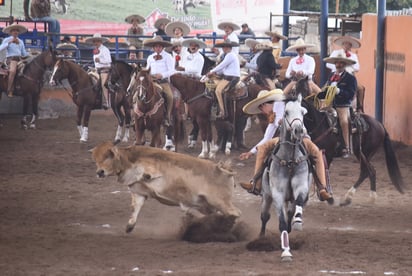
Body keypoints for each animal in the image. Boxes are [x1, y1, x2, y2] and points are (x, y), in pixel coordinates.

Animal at [88, 141, 240, 232]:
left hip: (219, 201)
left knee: (235, 213)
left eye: (108, 156)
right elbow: (135, 208)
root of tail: (223, 170)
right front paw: (130, 226)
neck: (129, 160)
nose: (99, 172)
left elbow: (148, 173)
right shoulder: (139, 192)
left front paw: (146, 175)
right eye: (95, 159)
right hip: (209, 205)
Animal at [260, 95, 310, 260]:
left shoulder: (301, 187)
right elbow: (281, 222)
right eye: (286, 112)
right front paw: (286, 251)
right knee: (264, 217)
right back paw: (261, 238)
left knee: (290, 212)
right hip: (267, 196)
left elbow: (299, 202)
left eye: (303, 112)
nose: (299, 130)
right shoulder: (277, 194)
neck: (290, 161)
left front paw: (298, 222)